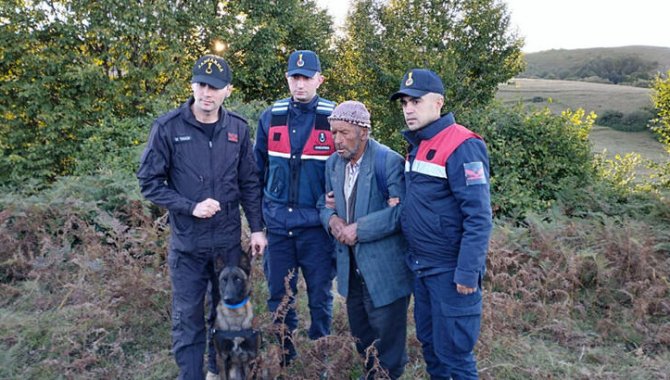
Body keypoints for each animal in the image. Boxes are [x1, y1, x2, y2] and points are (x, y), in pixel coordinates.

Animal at [211, 252, 262, 380]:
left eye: (238, 279)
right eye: (223, 280)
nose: (227, 299)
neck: (235, 314)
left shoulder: (253, 357)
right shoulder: (221, 357)